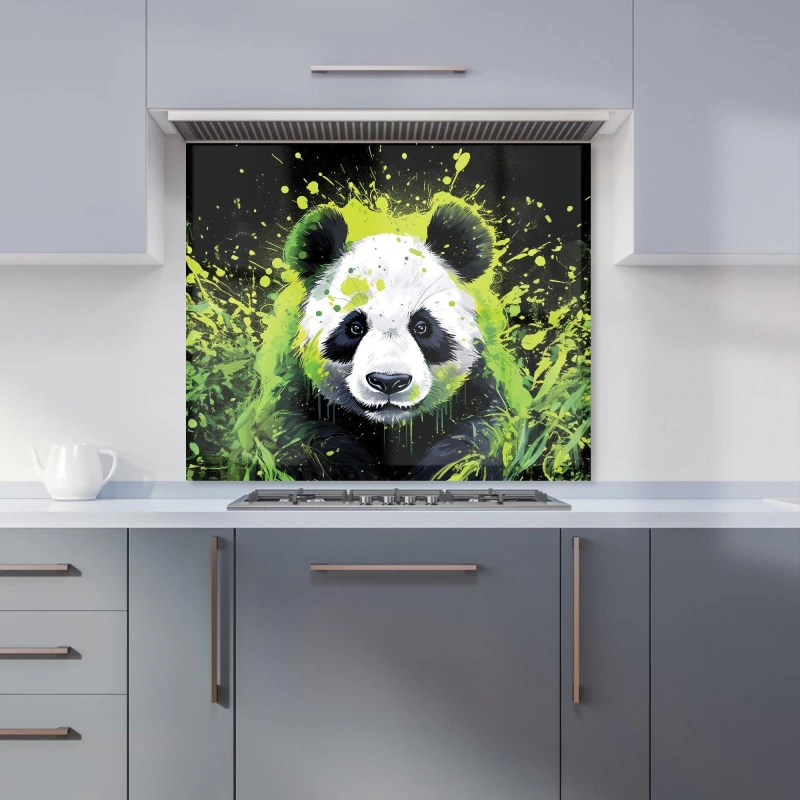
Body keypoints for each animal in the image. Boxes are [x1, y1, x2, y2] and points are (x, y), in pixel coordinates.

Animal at [269, 201, 507, 481]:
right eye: (355, 327)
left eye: (422, 327)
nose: (389, 381)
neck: (391, 428)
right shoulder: (303, 401)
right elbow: (307, 442)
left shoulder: (475, 395)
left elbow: (474, 442)